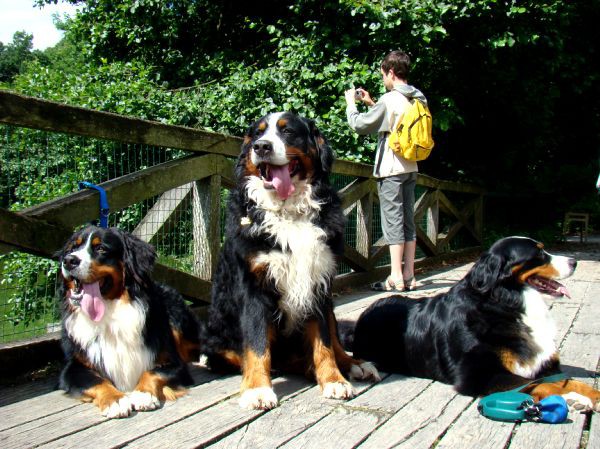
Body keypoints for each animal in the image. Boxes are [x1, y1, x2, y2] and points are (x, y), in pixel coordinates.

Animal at [56, 226, 202, 418]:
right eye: (73, 248)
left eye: (101, 248)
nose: (68, 261)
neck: (110, 315)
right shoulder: (71, 368)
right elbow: (96, 380)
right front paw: (115, 400)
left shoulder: (175, 364)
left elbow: (152, 372)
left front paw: (143, 394)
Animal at [202, 110, 380, 408]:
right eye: (258, 132)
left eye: (287, 132)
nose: (261, 147)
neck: (288, 211)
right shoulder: (254, 289)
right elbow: (257, 344)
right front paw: (258, 389)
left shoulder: (317, 283)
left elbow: (324, 342)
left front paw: (333, 379)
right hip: (216, 337)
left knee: (333, 337)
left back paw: (354, 365)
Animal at [342, 236, 600, 412]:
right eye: (539, 254)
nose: (574, 261)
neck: (503, 304)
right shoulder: (479, 375)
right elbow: (536, 383)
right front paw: (575, 399)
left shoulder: (546, 364)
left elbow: (567, 380)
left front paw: (590, 394)